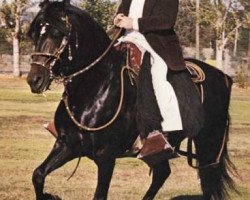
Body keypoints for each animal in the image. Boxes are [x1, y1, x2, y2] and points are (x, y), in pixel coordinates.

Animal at [26, 0, 237, 199]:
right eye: (35, 34)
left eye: (57, 33)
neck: (97, 86)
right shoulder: (67, 145)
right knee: (162, 173)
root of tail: (224, 77)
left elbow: (100, 194)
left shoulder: (106, 157)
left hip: (209, 143)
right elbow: (38, 175)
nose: (34, 80)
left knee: (207, 182)